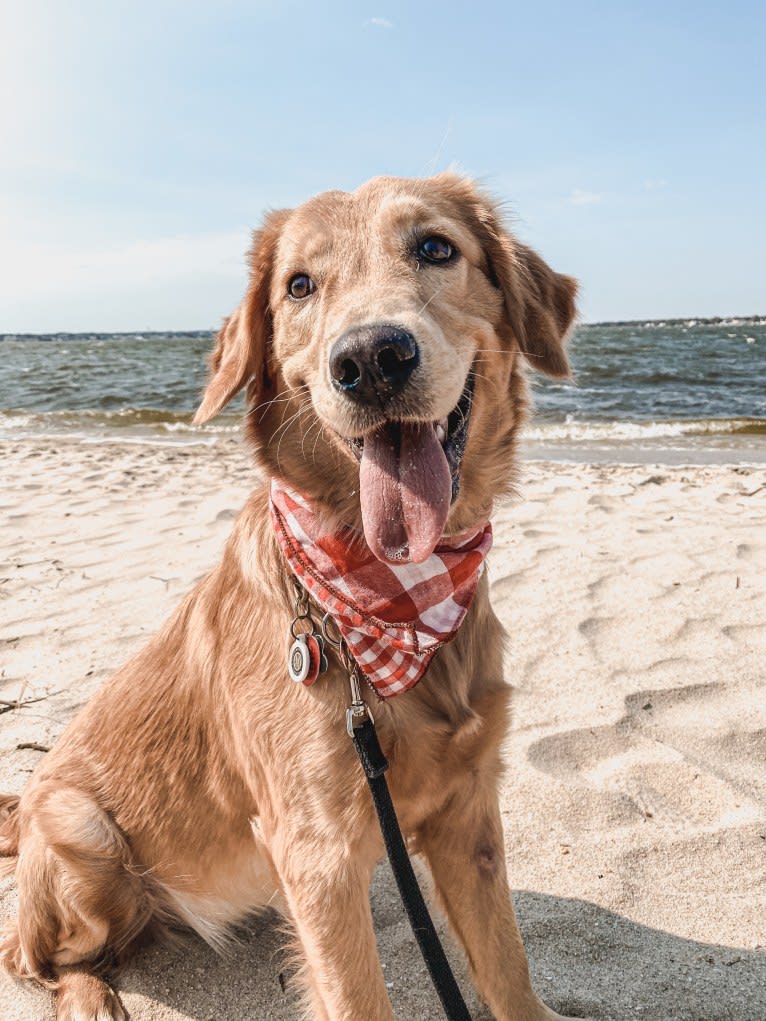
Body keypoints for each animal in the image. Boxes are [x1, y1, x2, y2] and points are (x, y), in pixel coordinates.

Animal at [0, 171, 580, 1016]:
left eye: (436, 248)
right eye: (299, 286)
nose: (371, 358)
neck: (387, 595)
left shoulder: (470, 814)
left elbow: (508, 970)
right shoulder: (319, 854)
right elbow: (359, 996)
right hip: (84, 829)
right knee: (29, 954)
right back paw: (90, 995)